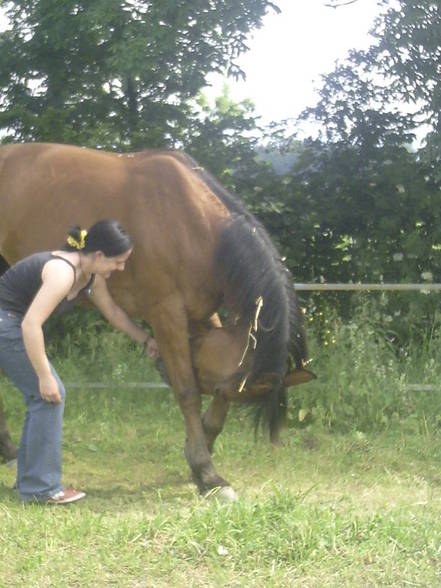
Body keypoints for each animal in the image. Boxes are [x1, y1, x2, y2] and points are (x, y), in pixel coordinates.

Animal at [0, 145, 312, 498]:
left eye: (225, 391)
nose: (160, 364)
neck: (195, 226)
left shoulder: (200, 314)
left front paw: (199, 454)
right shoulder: (167, 313)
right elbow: (187, 391)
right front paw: (207, 472)